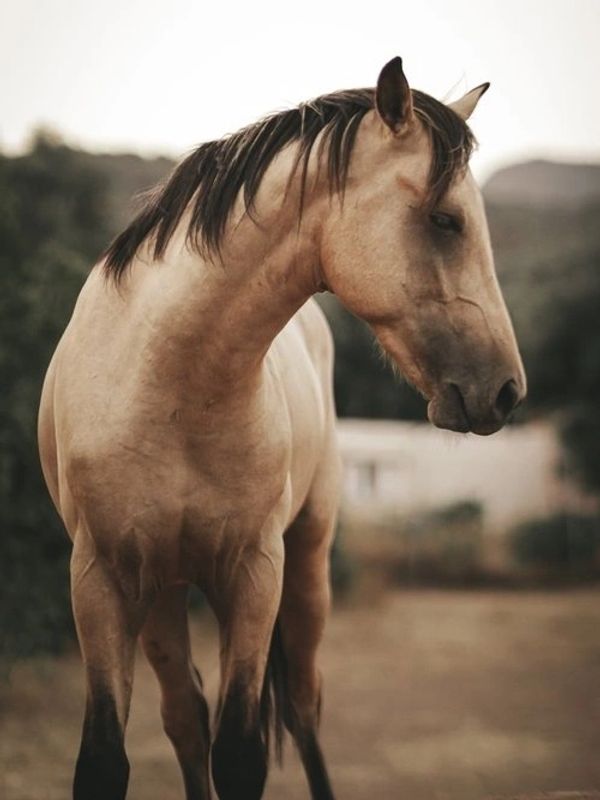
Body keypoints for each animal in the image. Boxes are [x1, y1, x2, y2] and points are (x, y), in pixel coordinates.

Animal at [37, 56, 526, 800]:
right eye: (445, 220)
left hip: (305, 562)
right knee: (186, 716)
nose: (506, 390)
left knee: (300, 706)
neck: (169, 384)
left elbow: (242, 751)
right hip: (163, 593)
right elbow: (106, 759)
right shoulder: (100, 580)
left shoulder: (254, 573)